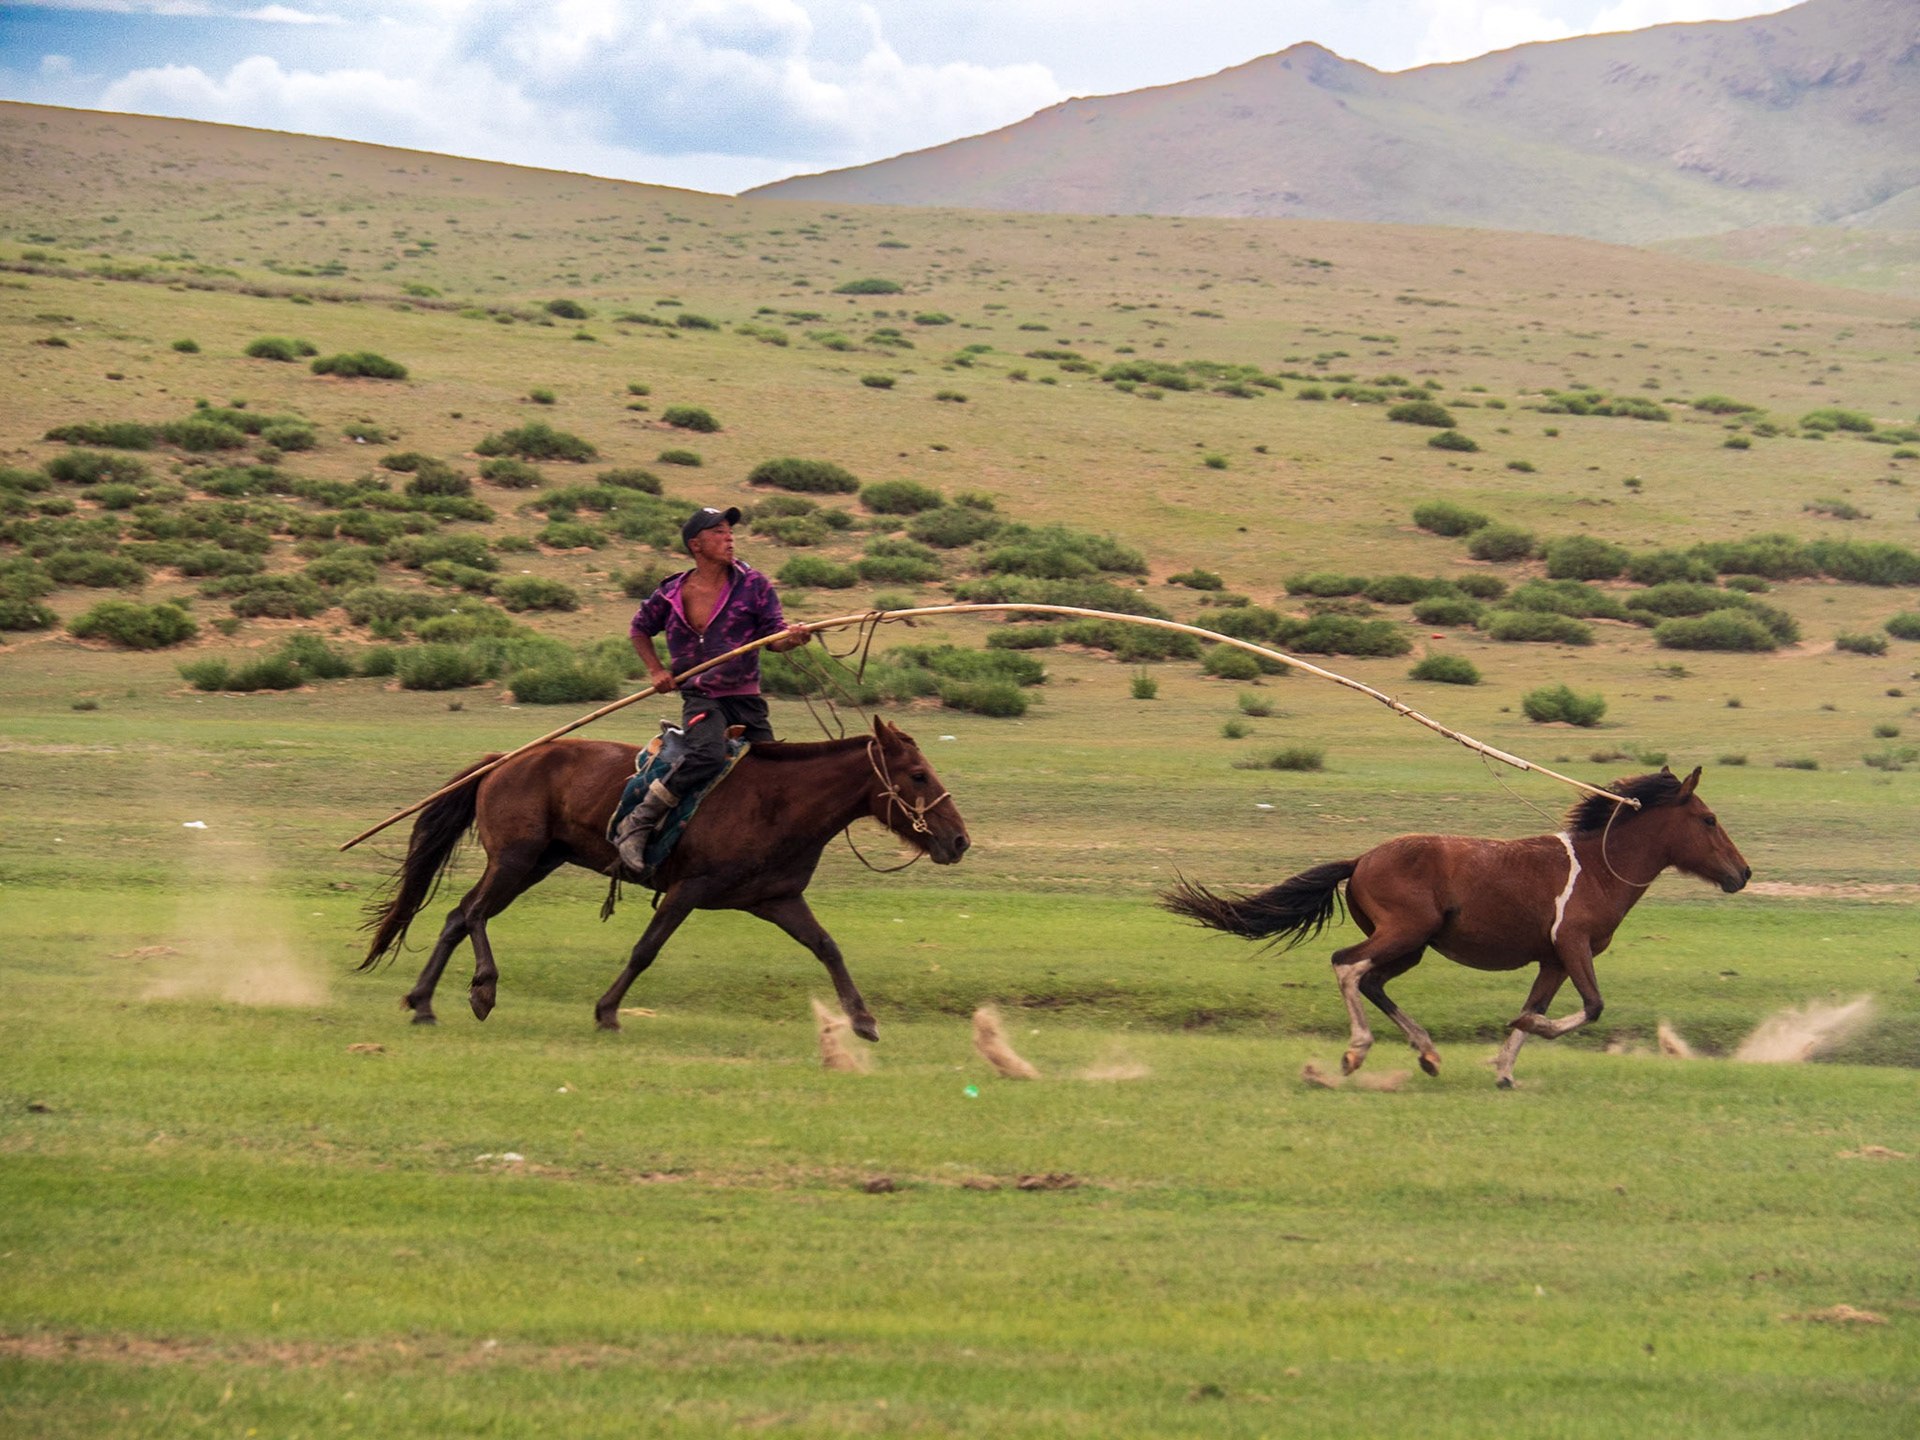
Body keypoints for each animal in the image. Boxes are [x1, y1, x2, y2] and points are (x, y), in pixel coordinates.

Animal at [358, 717, 969, 1039]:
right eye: (918, 774)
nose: (959, 840)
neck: (779, 803)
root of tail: (504, 760)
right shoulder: (687, 890)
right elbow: (645, 950)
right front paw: (607, 1012)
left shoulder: (777, 899)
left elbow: (828, 948)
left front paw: (863, 1020)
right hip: (513, 860)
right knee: (475, 914)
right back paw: (482, 989)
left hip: (536, 863)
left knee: (457, 916)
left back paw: (423, 1004)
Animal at [1161, 768, 1750, 1087]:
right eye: (1709, 820)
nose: (1742, 873)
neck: (1596, 867)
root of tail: (1361, 859)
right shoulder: (1574, 946)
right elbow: (1590, 1007)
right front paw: (1522, 1034)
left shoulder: (1553, 959)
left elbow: (1539, 1007)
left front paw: (1506, 1068)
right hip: (1403, 933)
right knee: (1348, 966)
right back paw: (1357, 1051)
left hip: (1413, 946)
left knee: (1372, 981)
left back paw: (1427, 1052)